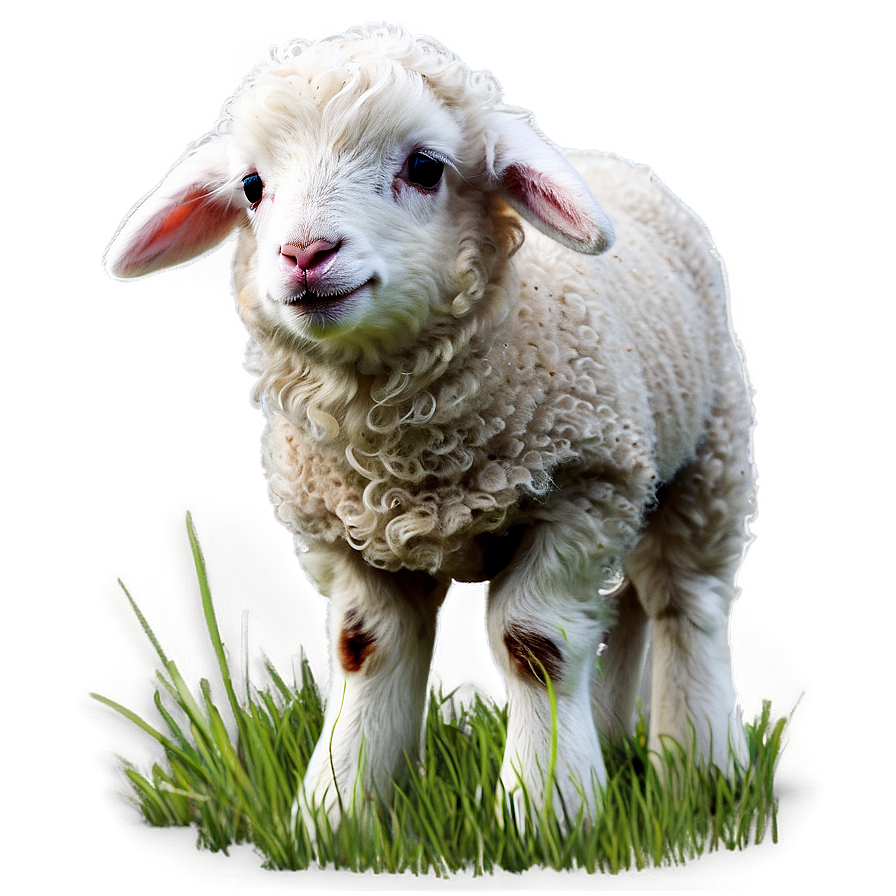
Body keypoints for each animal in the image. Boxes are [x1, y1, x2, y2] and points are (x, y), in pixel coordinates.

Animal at [103, 23, 754, 834]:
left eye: (423, 167)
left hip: (708, 455)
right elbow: (365, 649)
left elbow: (533, 642)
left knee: (686, 600)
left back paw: (702, 768)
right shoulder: (347, 531)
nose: (304, 254)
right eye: (252, 186)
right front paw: (335, 815)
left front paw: (544, 813)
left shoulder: (584, 490)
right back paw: (612, 740)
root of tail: (616, 165)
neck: (411, 457)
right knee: (629, 605)